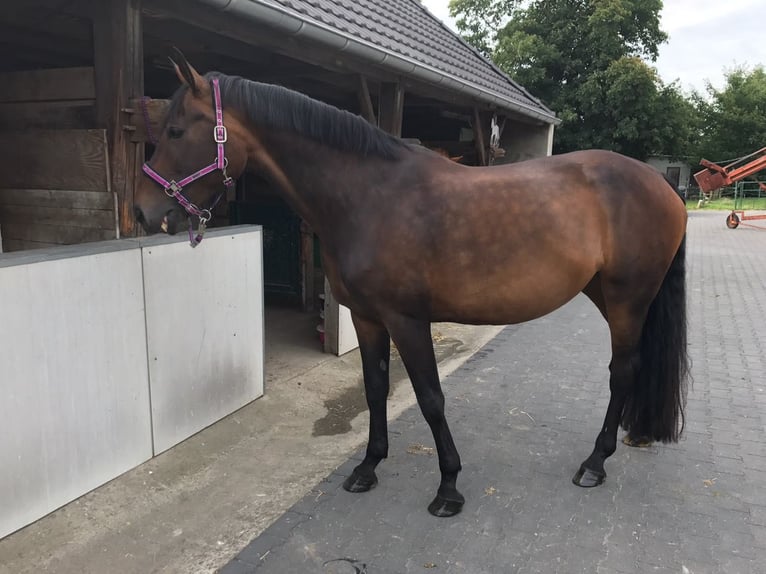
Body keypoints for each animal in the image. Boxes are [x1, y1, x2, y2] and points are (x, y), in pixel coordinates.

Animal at [134, 51, 689, 518]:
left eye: (177, 131)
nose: (143, 211)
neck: (369, 196)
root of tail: (663, 185)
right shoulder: (367, 318)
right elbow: (375, 387)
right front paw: (367, 467)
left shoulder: (408, 320)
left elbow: (430, 397)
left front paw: (448, 487)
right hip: (605, 294)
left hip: (626, 299)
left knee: (622, 372)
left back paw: (594, 463)